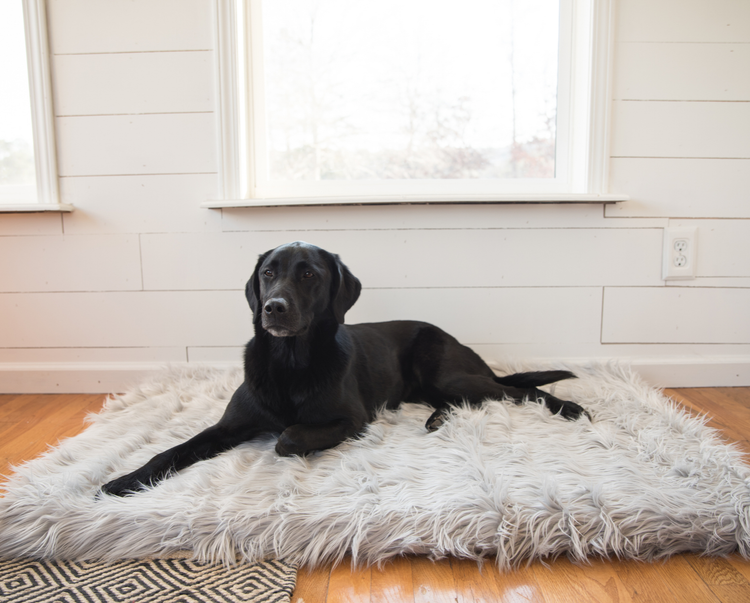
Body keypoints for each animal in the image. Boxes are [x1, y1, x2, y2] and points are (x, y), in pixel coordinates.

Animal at [103, 243, 592, 498]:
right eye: (267, 273)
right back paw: (437, 419)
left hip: (446, 373)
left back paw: (570, 409)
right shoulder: (227, 427)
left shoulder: (352, 419)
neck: (289, 364)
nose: (272, 307)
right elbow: (171, 451)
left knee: (513, 391)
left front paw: (289, 438)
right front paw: (123, 482)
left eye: (308, 275)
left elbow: (288, 436)